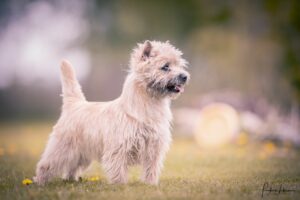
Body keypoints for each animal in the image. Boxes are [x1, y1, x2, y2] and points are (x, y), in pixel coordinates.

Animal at [33, 39, 190, 185]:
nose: (185, 76)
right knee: (46, 164)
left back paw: (71, 180)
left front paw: (149, 184)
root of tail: (74, 104)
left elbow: (151, 168)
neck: (149, 105)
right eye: (165, 67)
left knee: (72, 167)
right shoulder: (119, 147)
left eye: (179, 65)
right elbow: (118, 167)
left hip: (82, 153)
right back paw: (40, 182)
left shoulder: (153, 147)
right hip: (62, 147)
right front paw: (119, 185)